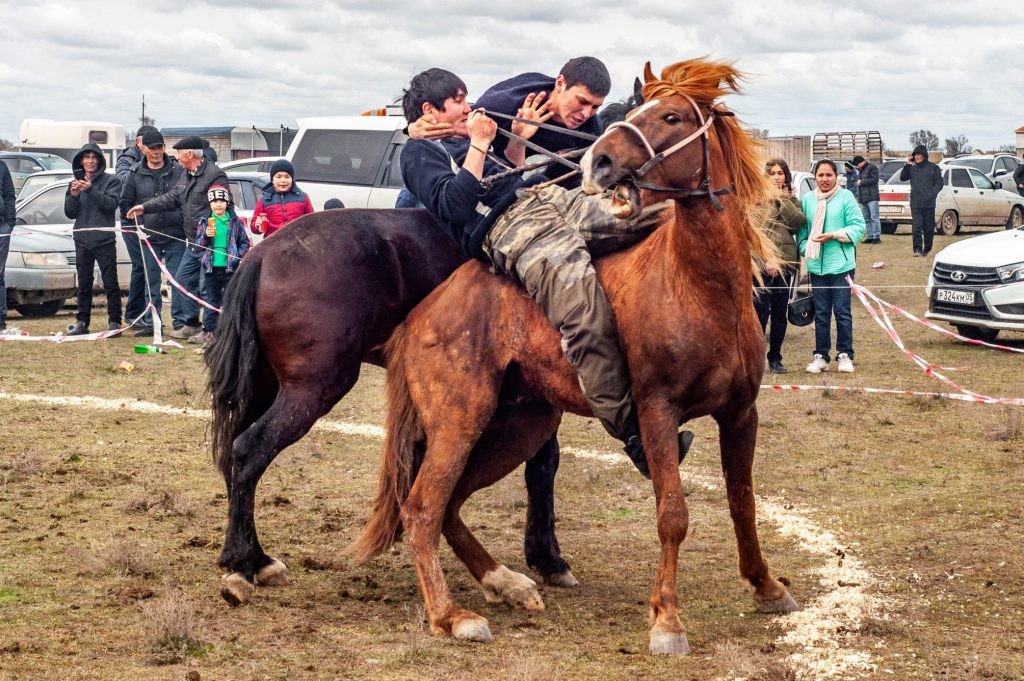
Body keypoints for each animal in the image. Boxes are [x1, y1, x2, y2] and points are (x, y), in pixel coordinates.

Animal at [203, 209, 581, 602]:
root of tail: (261, 256)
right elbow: (542, 467)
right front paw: (548, 557)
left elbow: (541, 463)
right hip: (309, 391)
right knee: (249, 450)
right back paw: (244, 563)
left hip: (267, 386)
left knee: (233, 455)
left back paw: (251, 558)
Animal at [352, 59, 798, 655]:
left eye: (672, 116)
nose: (599, 161)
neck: (697, 286)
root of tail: (420, 315)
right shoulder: (656, 412)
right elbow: (672, 513)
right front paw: (667, 620)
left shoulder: (741, 413)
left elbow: (742, 502)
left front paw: (766, 586)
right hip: (459, 421)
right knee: (422, 507)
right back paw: (451, 614)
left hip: (520, 423)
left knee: (450, 504)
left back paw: (506, 583)